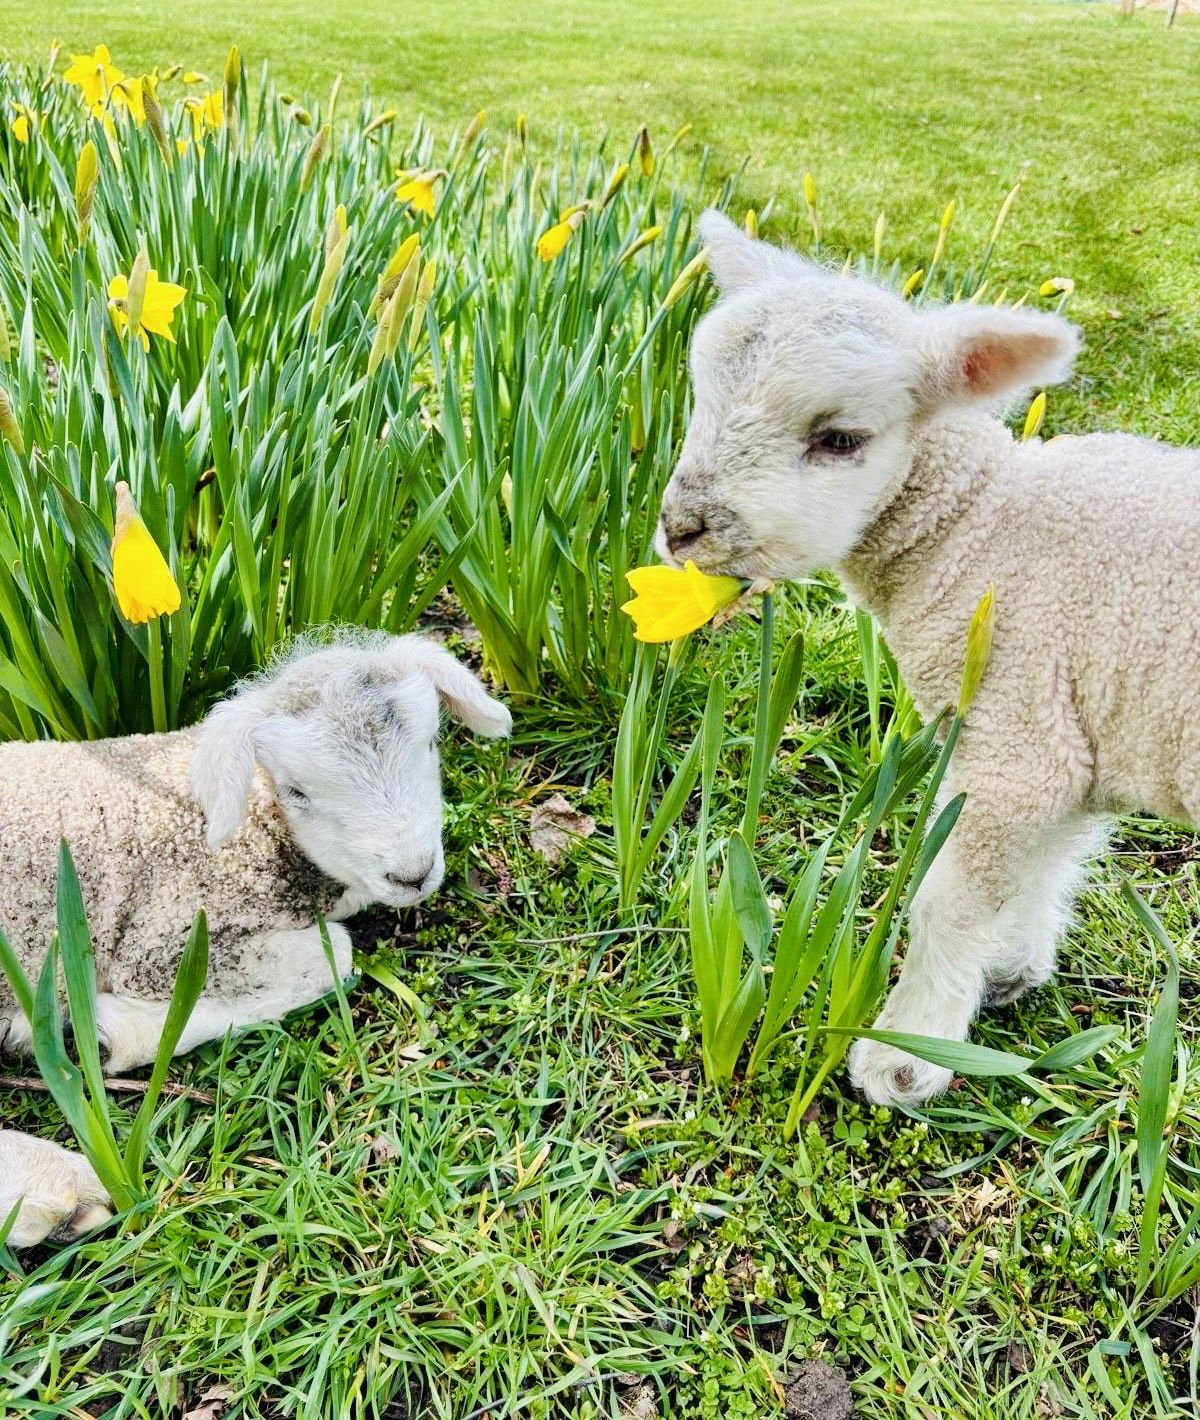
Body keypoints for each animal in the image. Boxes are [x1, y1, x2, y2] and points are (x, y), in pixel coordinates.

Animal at [0, 631, 511, 1246]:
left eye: (433, 744)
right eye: (298, 792)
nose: (412, 874)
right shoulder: (162, 937)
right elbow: (333, 956)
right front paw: (114, 1031)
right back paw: (51, 1189)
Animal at [656, 208, 1200, 1108]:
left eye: (840, 439)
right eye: (702, 399)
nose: (682, 528)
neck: (980, 522)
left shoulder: (1016, 730)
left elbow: (949, 901)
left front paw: (907, 1056)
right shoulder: (1074, 735)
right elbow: (1050, 862)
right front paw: (1011, 970)